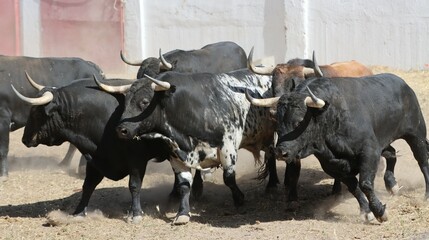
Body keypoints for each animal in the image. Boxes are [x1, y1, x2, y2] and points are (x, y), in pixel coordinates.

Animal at [272, 74, 426, 222]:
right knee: (392, 154)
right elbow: (354, 187)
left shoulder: (369, 152)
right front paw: (367, 212)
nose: (280, 152)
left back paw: (426, 194)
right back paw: (392, 185)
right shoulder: (331, 165)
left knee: (423, 161)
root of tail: (403, 84)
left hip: (416, 134)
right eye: (278, 122)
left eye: (298, 122)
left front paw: (380, 212)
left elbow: (365, 184)